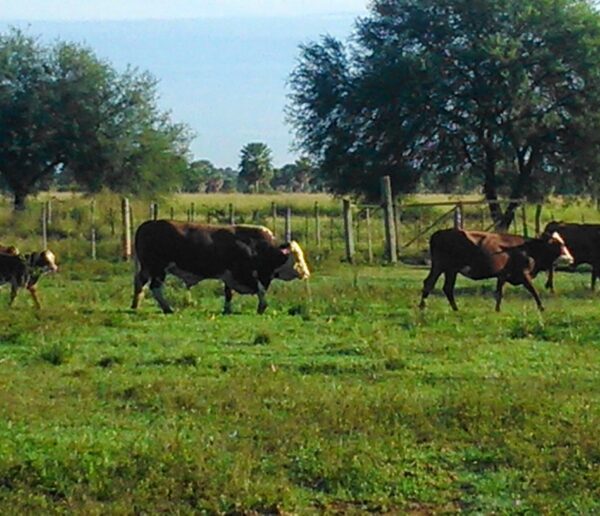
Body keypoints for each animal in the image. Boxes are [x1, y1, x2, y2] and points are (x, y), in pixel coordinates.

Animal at [130, 219, 310, 314]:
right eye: (297, 257)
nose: (306, 273)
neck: (258, 247)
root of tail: (147, 224)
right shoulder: (244, 275)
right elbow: (260, 290)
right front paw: (262, 307)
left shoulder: (229, 276)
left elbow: (229, 293)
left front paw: (227, 309)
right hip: (158, 269)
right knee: (155, 287)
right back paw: (168, 308)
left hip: (148, 268)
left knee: (140, 283)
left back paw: (135, 305)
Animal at [420, 229, 576, 310]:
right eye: (558, 244)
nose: (570, 258)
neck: (528, 249)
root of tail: (438, 234)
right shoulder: (523, 274)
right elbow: (534, 291)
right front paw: (542, 308)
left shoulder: (503, 275)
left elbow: (499, 293)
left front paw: (497, 310)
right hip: (441, 266)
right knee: (430, 283)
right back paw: (422, 307)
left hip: (450, 270)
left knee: (447, 288)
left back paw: (455, 309)